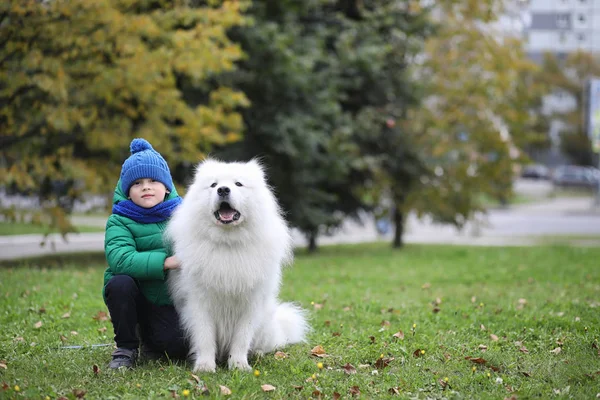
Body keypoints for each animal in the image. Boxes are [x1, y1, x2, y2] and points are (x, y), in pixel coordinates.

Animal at [166, 159, 310, 372]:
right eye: (214, 185)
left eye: (238, 184)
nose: (223, 190)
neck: (228, 244)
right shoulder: (199, 302)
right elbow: (205, 337)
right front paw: (205, 366)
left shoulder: (251, 303)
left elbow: (242, 338)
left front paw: (239, 365)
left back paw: (257, 353)